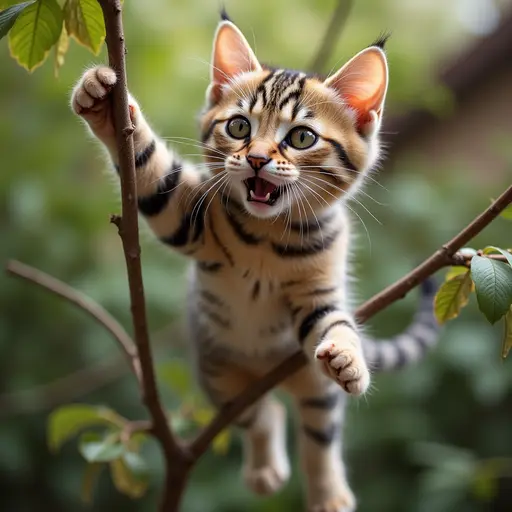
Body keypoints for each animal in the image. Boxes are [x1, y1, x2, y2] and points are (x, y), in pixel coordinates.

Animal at [71, 14, 440, 510]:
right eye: (239, 127)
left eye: (302, 137)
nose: (259, 159)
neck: (268, 237)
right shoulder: (184, 214)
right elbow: (151, 170)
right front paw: (103, 104)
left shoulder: (321, 291)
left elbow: (336, 324)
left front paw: (348, 355)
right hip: (220, 376)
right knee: (262, 415)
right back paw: (265, 467)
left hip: (311, 385)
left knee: (318, 432)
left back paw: (328, 493)